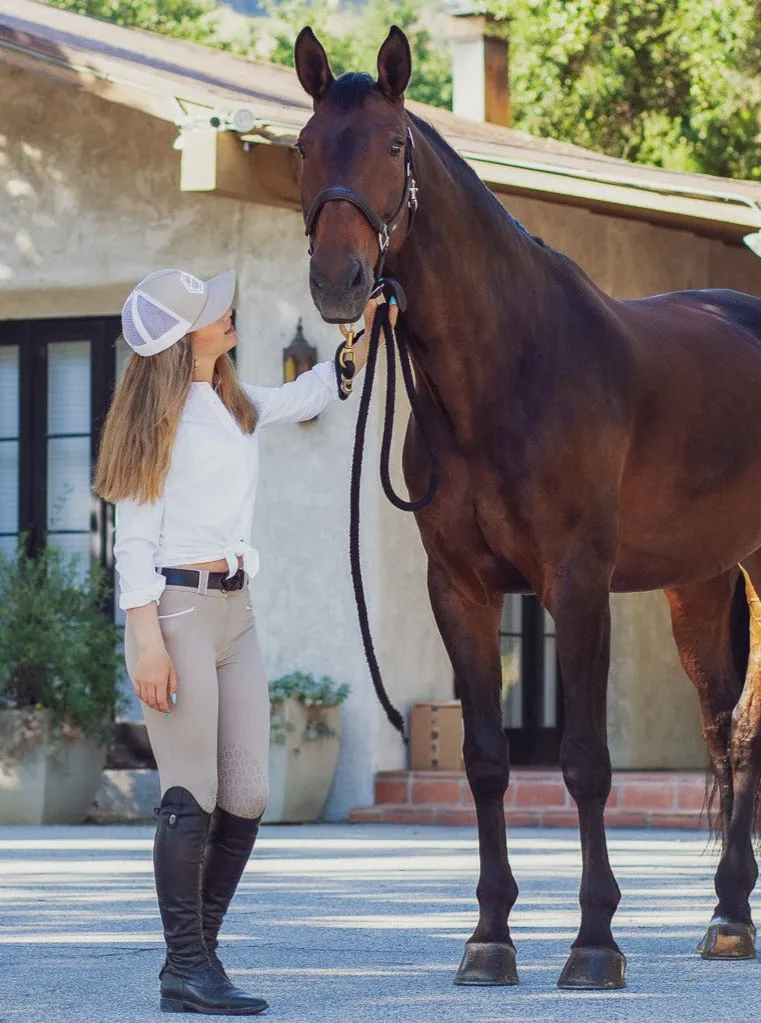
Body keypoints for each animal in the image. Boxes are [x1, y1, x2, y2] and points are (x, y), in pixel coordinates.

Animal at [290, 21, 761, 982]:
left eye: (392, 145)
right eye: (305, 146)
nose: (337, 280)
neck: (505, 371)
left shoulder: (575, 585)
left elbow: (583, 761)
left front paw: (593, 942)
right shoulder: (458, 589)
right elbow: (483, 759)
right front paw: (489, 936)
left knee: (745, 732)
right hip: (698, 584)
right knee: (722, 729)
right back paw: (728, 915)